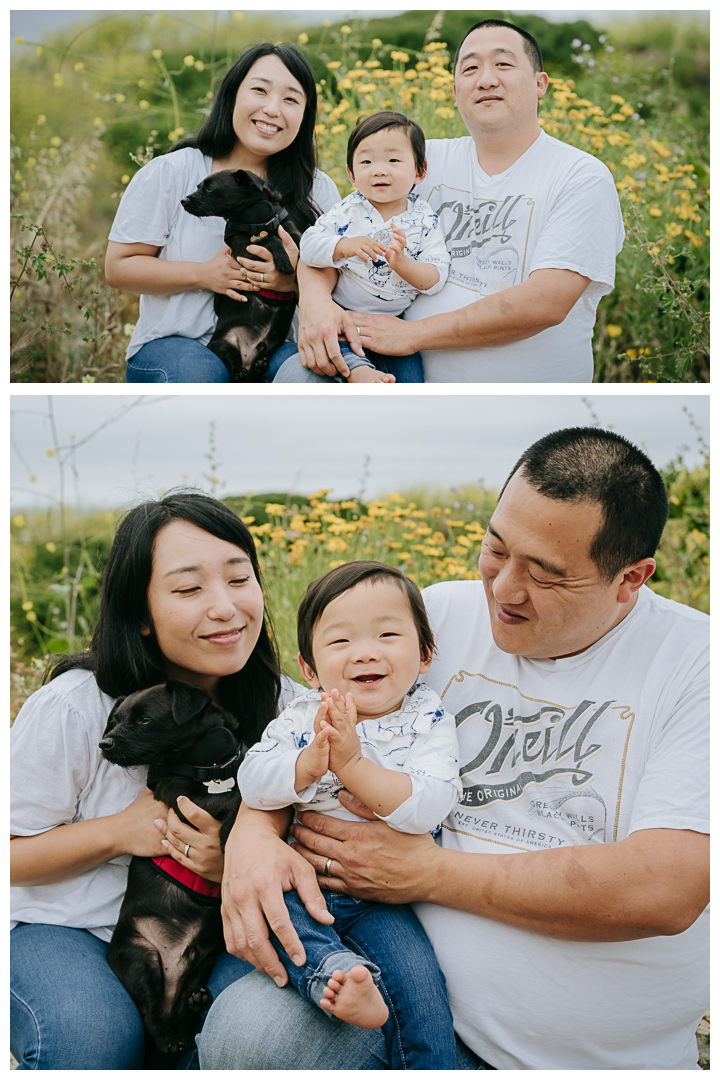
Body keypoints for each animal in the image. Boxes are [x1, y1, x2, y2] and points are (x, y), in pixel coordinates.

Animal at [98, 682, 246, 1054]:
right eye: (115, 720)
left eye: (144, 719)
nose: (104, 744)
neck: (211, 765)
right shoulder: (178, 798)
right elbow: (228, 798)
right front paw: (229, 833)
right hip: (141, 959)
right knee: (150, 1015)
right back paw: (168, 1040)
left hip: (203, 960)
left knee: (184, 1014)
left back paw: (196, 1001)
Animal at [183, 170, 304, 382]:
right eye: (199, 187)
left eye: (210, 188)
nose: (183, 200)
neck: (257, 219)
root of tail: (248, 357)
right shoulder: (244, 250)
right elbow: (268, 239)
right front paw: (283, 260)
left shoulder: (292, 233)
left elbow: (302, 247)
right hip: (224, 345)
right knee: (235, 371)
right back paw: (241, 372)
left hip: (274, 342)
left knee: (257, 366)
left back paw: (260, 365)